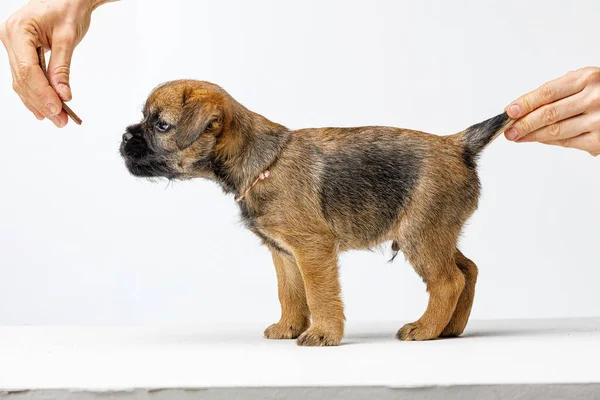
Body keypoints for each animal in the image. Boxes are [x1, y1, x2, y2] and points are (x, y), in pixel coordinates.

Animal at [119, 79, 512, 346]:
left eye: (161, 125)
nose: (123, 137)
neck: (261, 161)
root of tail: (458, 145)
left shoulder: (313, 248)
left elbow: (320, 293)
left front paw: (323, 334)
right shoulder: (284, 253)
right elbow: (291, 292)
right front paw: (289, 326)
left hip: (421, 236)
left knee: (448, 281)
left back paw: (426, 329)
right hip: (434, 233)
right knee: (467, 269)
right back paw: (450, 328)